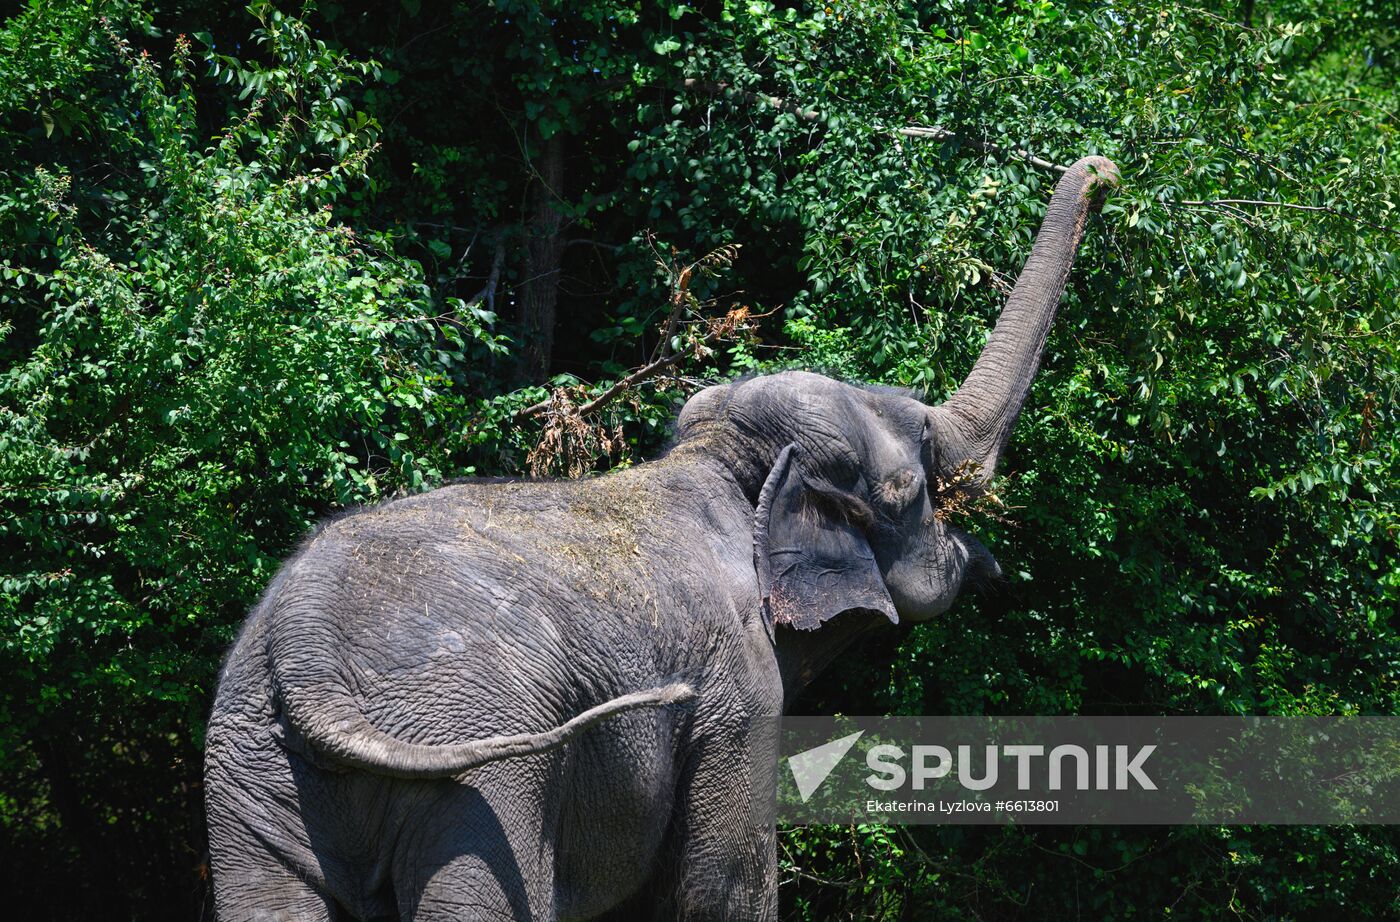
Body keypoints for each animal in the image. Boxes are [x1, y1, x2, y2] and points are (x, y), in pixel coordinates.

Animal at [204, 155, 1114, 917]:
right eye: (912, 489)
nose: (1101, 172)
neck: (727, 467)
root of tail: (307, 649)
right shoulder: (737, 691)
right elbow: (723, 883)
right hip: (473, 761)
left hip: (249, 770)